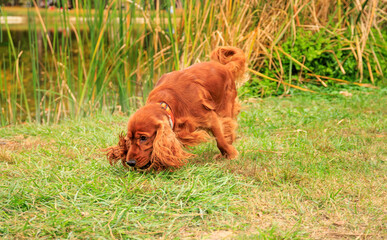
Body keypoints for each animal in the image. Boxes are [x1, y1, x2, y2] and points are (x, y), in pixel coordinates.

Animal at [106, 46, 246, 171]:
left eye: (143, 138)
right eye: (129, 138)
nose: (130, 162)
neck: (165, 102)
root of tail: (225, 67)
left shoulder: (210, 118)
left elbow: (220, 140)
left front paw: (231, 154)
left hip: (225, 108)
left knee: (228, 129)